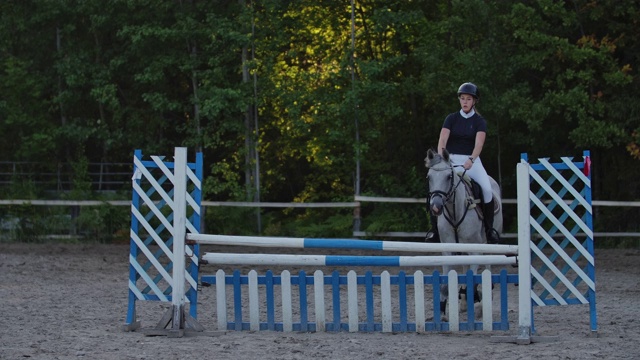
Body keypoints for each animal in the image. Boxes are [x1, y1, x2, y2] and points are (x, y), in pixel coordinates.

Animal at [424, 149, 504, 318]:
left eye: (449, 176)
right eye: (429, 177)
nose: (436, 207)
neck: (455, 211)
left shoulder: (476, 250)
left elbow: (472, 280)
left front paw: (477, 305)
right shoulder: (448, 251)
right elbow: (445, 284)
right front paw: (442, 314)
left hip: (490, 244)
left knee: (488, 266)